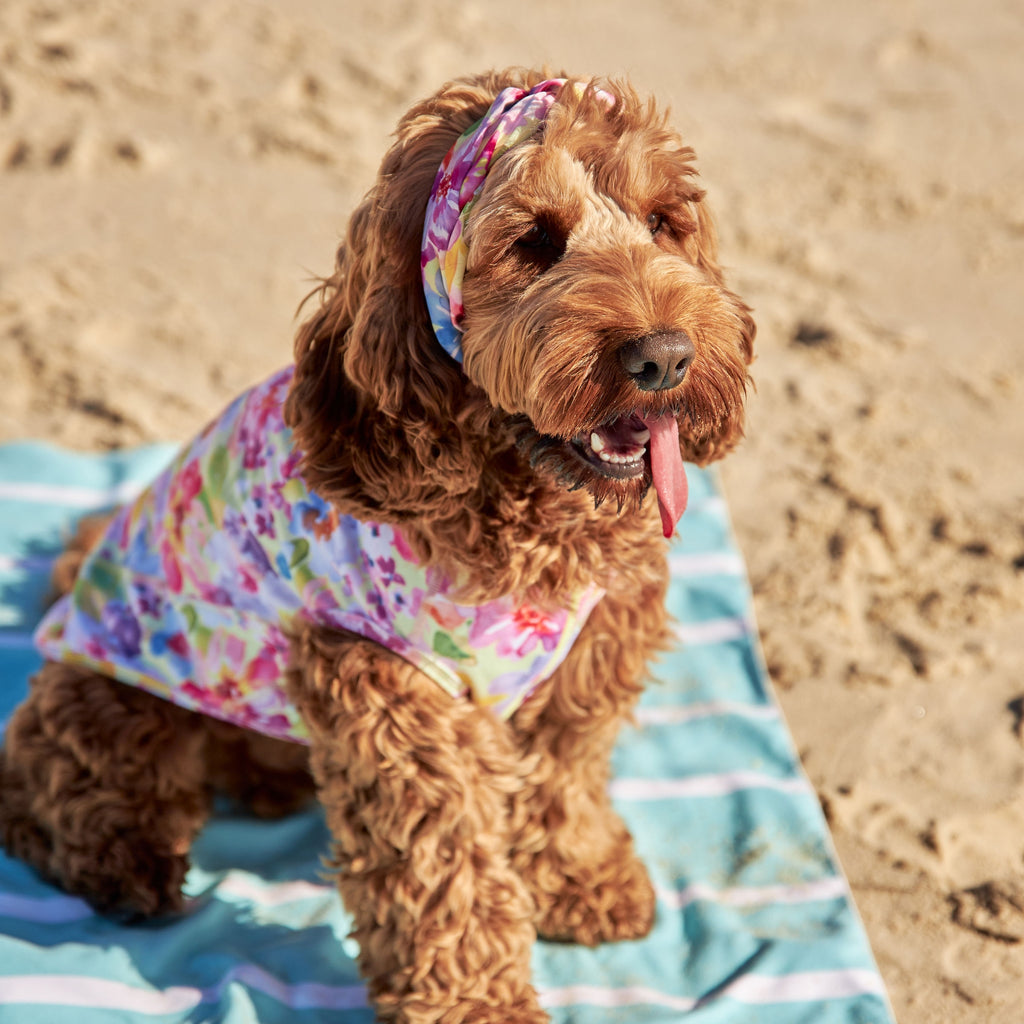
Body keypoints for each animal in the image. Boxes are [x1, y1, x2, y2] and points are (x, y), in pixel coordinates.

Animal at [0, 70, 753, 1024]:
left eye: (663, 222)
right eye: (534, 243)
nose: (664, 358)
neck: (523, 502)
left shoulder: (592, 650)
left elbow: (566, 773)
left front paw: (580, 878)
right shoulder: (395, 697)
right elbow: (444, 872)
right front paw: (479, 1006)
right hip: (121, 696)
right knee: (44, 780)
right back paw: (125, 862)